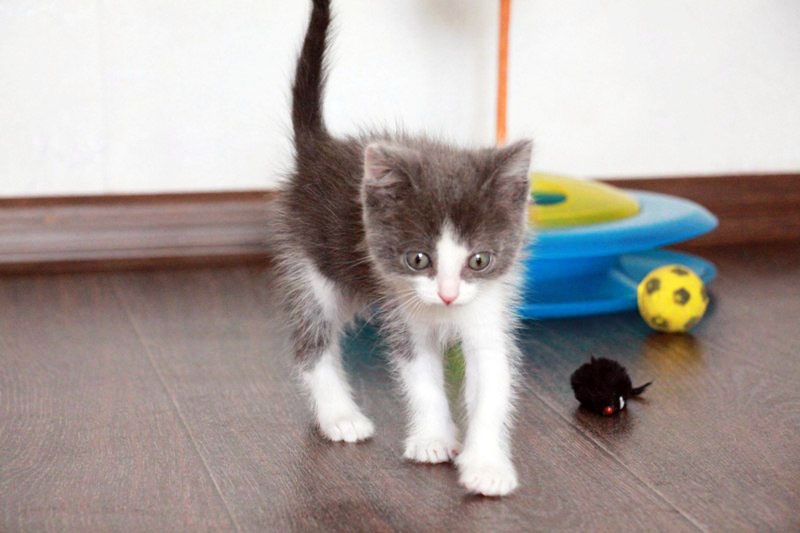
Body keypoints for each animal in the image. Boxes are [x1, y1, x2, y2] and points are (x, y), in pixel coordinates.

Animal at [272, 0, 532, 496]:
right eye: (418, 259)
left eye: (479, 260)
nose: (447, 294)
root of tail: (320, 148)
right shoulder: (401, 307)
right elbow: (422, 377)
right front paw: (433, 440)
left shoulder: (488, 308)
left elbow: (492, 381)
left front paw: (486, 465)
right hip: (312, 262)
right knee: (313, 339)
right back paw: (339, 415)